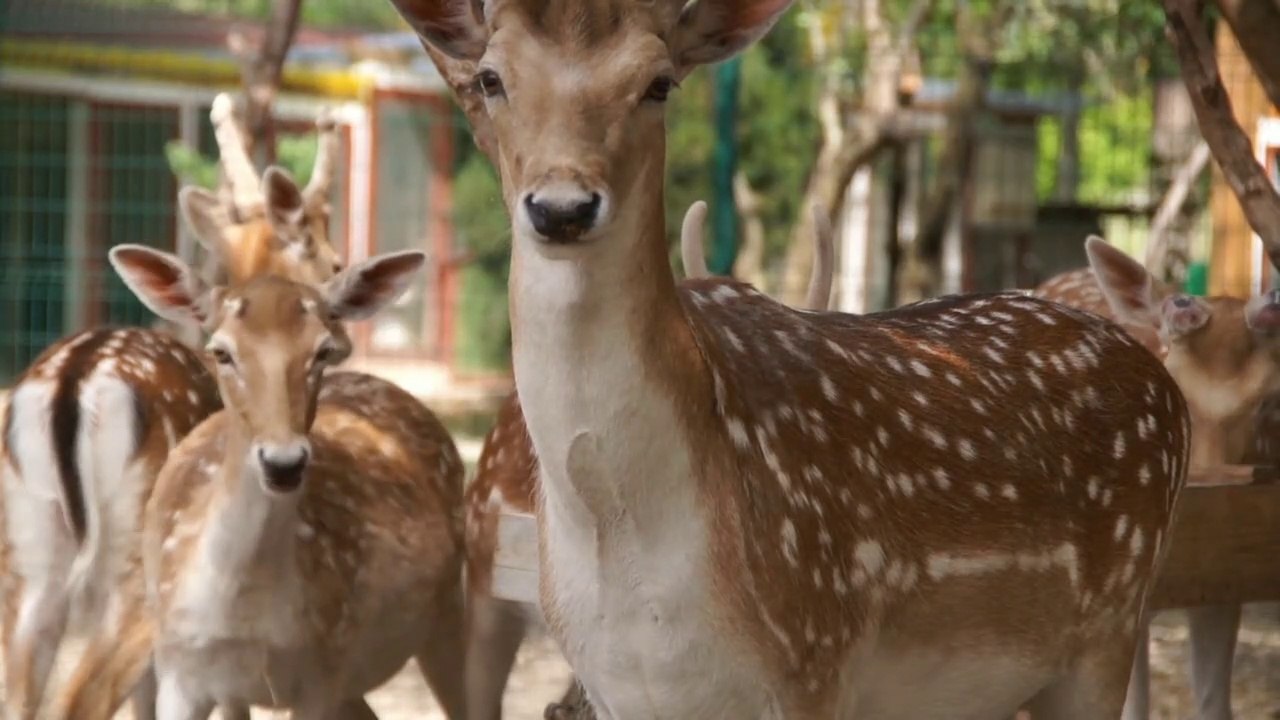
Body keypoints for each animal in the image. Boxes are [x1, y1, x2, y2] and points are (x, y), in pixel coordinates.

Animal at [99, 244, 465, 720]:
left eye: (323, 350)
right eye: (221, 352)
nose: (283, 462)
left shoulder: (324, 668)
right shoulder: (179, 669)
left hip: (452, 608)